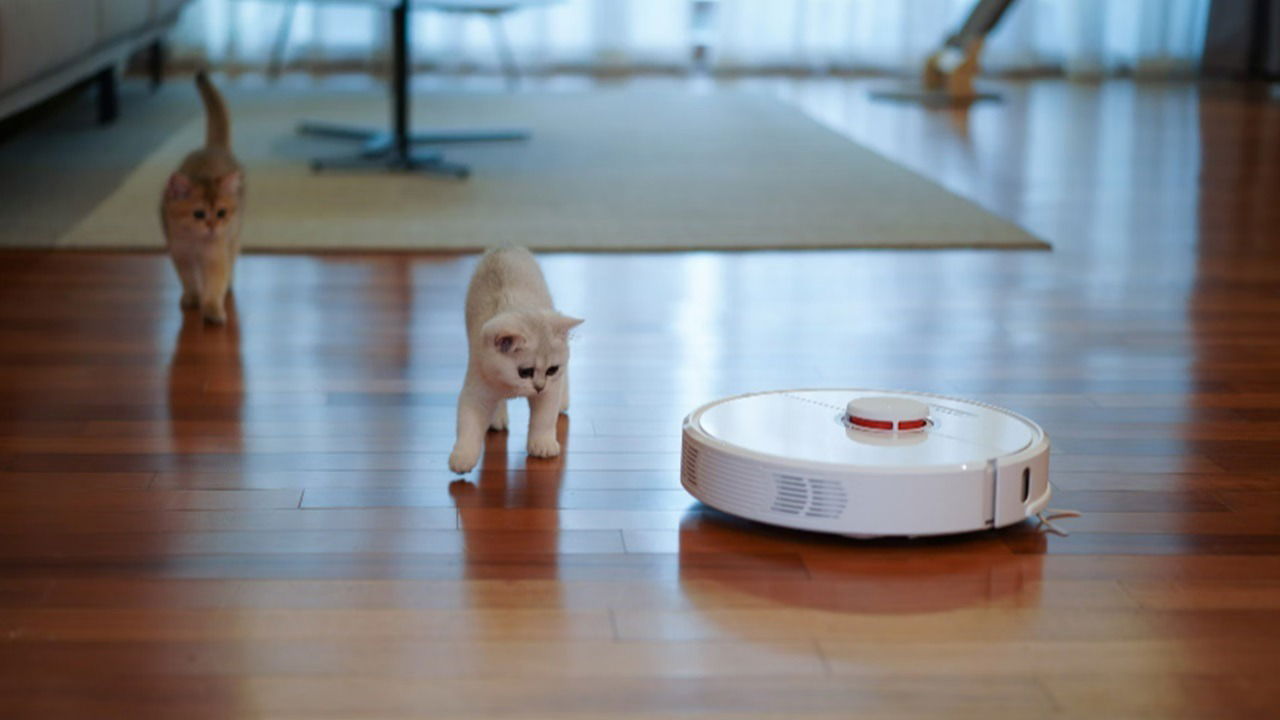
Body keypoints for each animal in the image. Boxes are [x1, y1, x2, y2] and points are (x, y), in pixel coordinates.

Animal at [161, 71, 243, 324]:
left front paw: (213, 309)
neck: (196, 242)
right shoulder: (180, 254)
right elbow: (188, 280)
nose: (212, 225)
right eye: (198, 213)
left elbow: (215, 282)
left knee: (232, 258)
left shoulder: (215, 256)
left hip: (233, 236)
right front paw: (192, 298)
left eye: (221, 212)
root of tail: (214, 147)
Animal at [450, 243, 586, 474]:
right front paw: (463, 457)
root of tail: (505, 246)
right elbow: (468, 425)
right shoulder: (476, 388)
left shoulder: (549, 392)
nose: (539, 386)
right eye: (525, 372)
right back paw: (497, 418)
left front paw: (542, 445)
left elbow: (544, 419)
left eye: (551, 369)